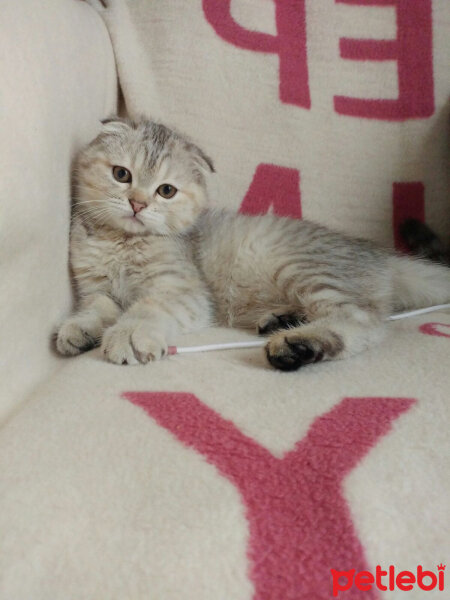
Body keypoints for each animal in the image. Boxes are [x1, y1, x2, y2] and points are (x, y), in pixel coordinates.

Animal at [56, 118, 450, 370]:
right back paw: (284, 323)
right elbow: (97, 309)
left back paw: (296, 346)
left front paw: (130, 333)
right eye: (121, 174)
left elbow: (146, 308)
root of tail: (379, 254)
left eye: (166, 191)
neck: (121, 243)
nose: (137, 204)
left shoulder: (182, 291)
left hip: (301, 268)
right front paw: (79, 329)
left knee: (363, 321)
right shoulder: (96, 289)